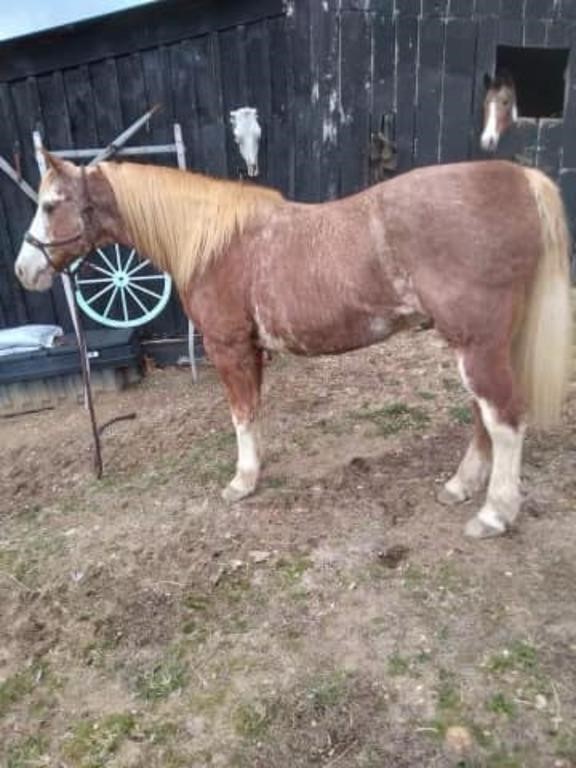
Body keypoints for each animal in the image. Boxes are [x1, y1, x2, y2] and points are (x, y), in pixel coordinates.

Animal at [15, 154, 572, 540]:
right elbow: (254, 412)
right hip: (481, 343)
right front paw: (257, 467)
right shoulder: (252, 349)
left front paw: (242, 482)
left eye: (50, 205)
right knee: (485, 414)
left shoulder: (228, 346)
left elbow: (240, 415)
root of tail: (519, 178)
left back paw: (494, 513)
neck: (215, 244)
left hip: (477, 344)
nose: (24, 270)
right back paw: (460, 487)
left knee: (504, 418)